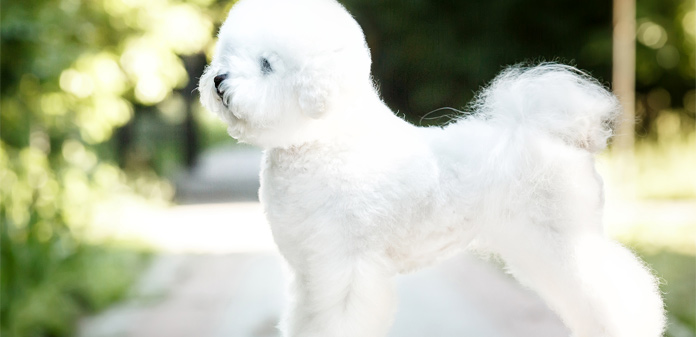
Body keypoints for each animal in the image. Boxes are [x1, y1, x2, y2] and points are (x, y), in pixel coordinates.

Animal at [198, 0, 668, 336]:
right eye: (230, 53)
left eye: (266, 64)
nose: (218, 80)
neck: (326, 140)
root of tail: (551, 134)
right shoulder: (311, 271)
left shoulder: (345, 267)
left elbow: (338, 318)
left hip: (564, 238)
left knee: (618, 289)